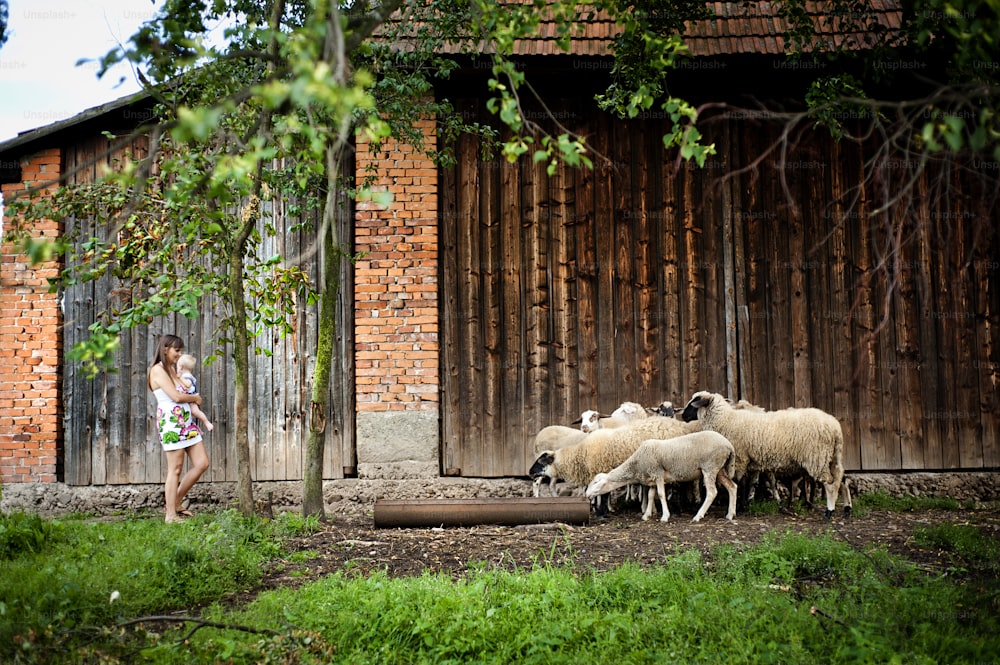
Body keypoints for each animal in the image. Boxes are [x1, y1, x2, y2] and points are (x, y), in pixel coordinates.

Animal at [584, 430, 740, 524]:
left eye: (596, 482)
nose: (586, 495)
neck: (636, 464)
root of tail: (729, 445)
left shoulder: (657, 474)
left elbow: (660, 494)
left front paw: (665, 516)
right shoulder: (652, 478)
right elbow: (651, 495)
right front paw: (646, 515)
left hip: (710, 467)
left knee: (712, 492)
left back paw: (698, 516)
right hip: (719, 469)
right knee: (732, 487)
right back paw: (730, 514)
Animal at [680, 390, 852, 520]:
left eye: (694, 402)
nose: (683, 416)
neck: (726, 420)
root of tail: (835, 427)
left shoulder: (740, 459)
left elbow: (739, 482)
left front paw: (738, 507)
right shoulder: (747, 460)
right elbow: (746, 483)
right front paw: (744, 505)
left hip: (817, 457)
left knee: (830, 483)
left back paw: (829, 512)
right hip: (831, 456)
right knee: (841, 478)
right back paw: (847, 508)